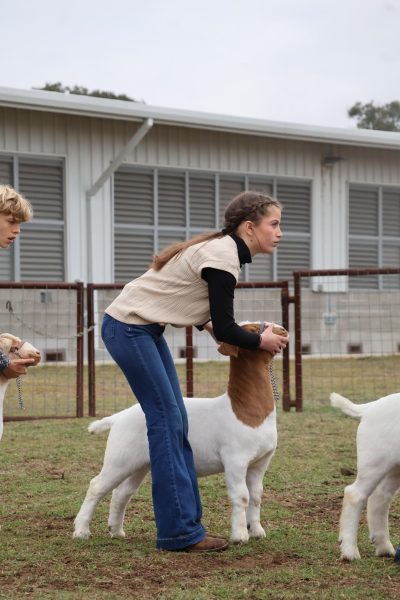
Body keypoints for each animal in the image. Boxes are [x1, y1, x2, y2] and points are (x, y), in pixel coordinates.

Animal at [74, 324, 288, 544]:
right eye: (253, 330)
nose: (282, 330)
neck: (245, 411)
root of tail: (119, 417)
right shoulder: (235, 460)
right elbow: (242, 496)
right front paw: (239, 536)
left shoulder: (260, 462)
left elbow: (256, 496)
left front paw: (257, 531)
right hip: (119, 458)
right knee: (96, 486)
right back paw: (81, 531)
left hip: (139, 463)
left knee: (121, 493)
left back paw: (116, 530)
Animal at [330, 392, 400, 560]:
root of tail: (370, 407)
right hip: (375, 461)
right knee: (355, 494)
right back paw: (349, 552)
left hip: (395, 467)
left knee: (380, 496)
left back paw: (384, 548)